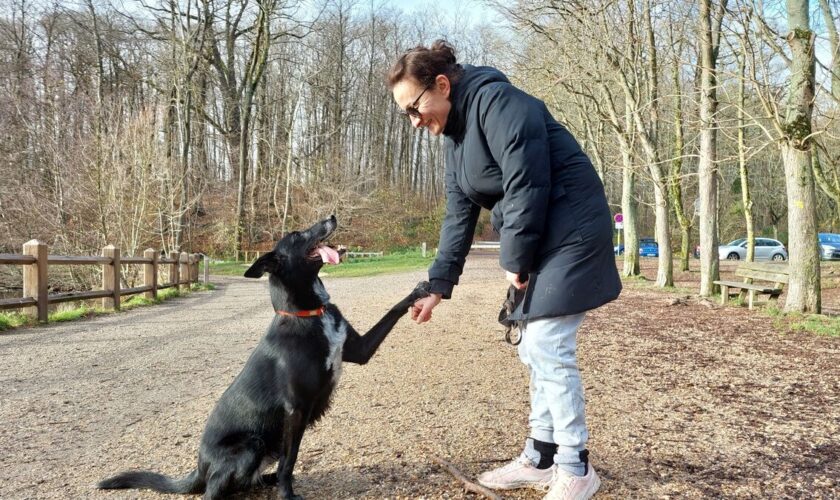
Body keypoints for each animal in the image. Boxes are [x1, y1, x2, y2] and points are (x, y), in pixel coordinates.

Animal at [99, 216, 434, 500]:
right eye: (297, 235)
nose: (332, 216)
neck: (308, 314)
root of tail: (199, 467)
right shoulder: (295, 410)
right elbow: (290, 459)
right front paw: (287, 494)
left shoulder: (360, 350)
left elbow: (393, 310)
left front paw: (419, 291)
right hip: (251, 445)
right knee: (214, 490)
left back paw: (266, 479)